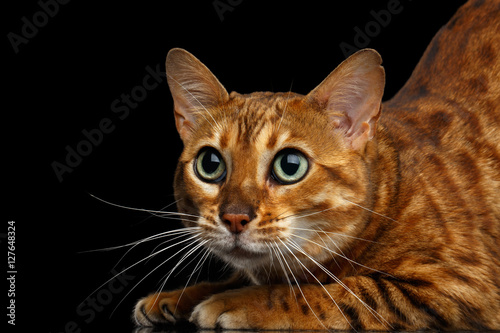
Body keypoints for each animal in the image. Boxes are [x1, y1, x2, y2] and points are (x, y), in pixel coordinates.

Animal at [133, 0, 500, 326]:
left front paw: (233, 300)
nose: (234, 217)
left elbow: (326, 292)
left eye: (290, 166)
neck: (391, 196)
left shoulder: (460, 286)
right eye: (210, 164)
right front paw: (178, 296)